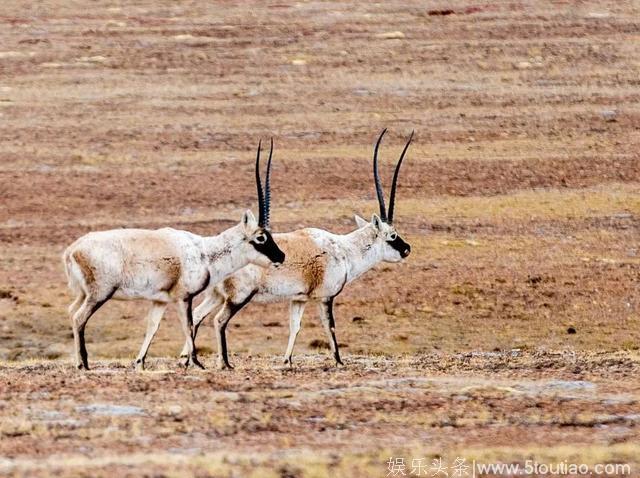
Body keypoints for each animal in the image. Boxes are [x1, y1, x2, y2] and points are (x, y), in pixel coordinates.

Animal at [63, 138, 286, 370]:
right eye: (260, 238)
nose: (281, 257)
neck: (204, 251)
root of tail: (73, 250)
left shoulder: (160, 300)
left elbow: (152, 327)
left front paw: (140, 362)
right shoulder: (184, 297)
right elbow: (188, 326)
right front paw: (195, 362)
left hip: (84, 294)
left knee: (71, 312)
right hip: (99, 295)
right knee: (79, 318)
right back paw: (83, 364)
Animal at [180, 129, 412, 368]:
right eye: (392, 235)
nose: (407, 249)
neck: (344, 250)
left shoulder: (298, 299)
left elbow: (295, 327)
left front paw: (287, 361)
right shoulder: (325, 297)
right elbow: (330, 326)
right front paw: (339, 361)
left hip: (216, 295)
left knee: (196, 315)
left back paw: (187, 360)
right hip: (238, 297)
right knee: (219, 320)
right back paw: (224, 363)